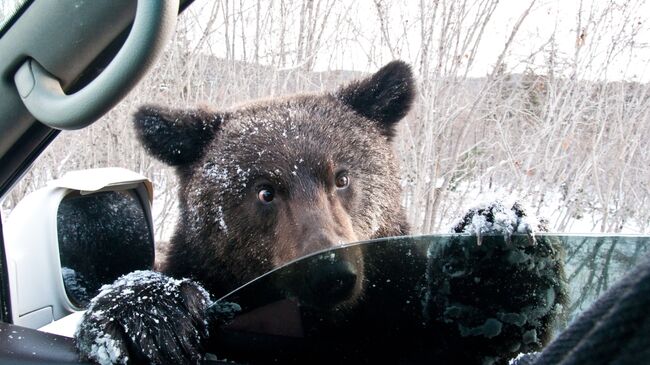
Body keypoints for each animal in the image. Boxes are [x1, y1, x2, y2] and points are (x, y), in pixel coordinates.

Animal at [74, 61, 560, 362]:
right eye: (265, 191)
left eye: (341, 177)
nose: (329, 273)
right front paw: (145, 318)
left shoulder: (396, 314)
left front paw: (500, 251)